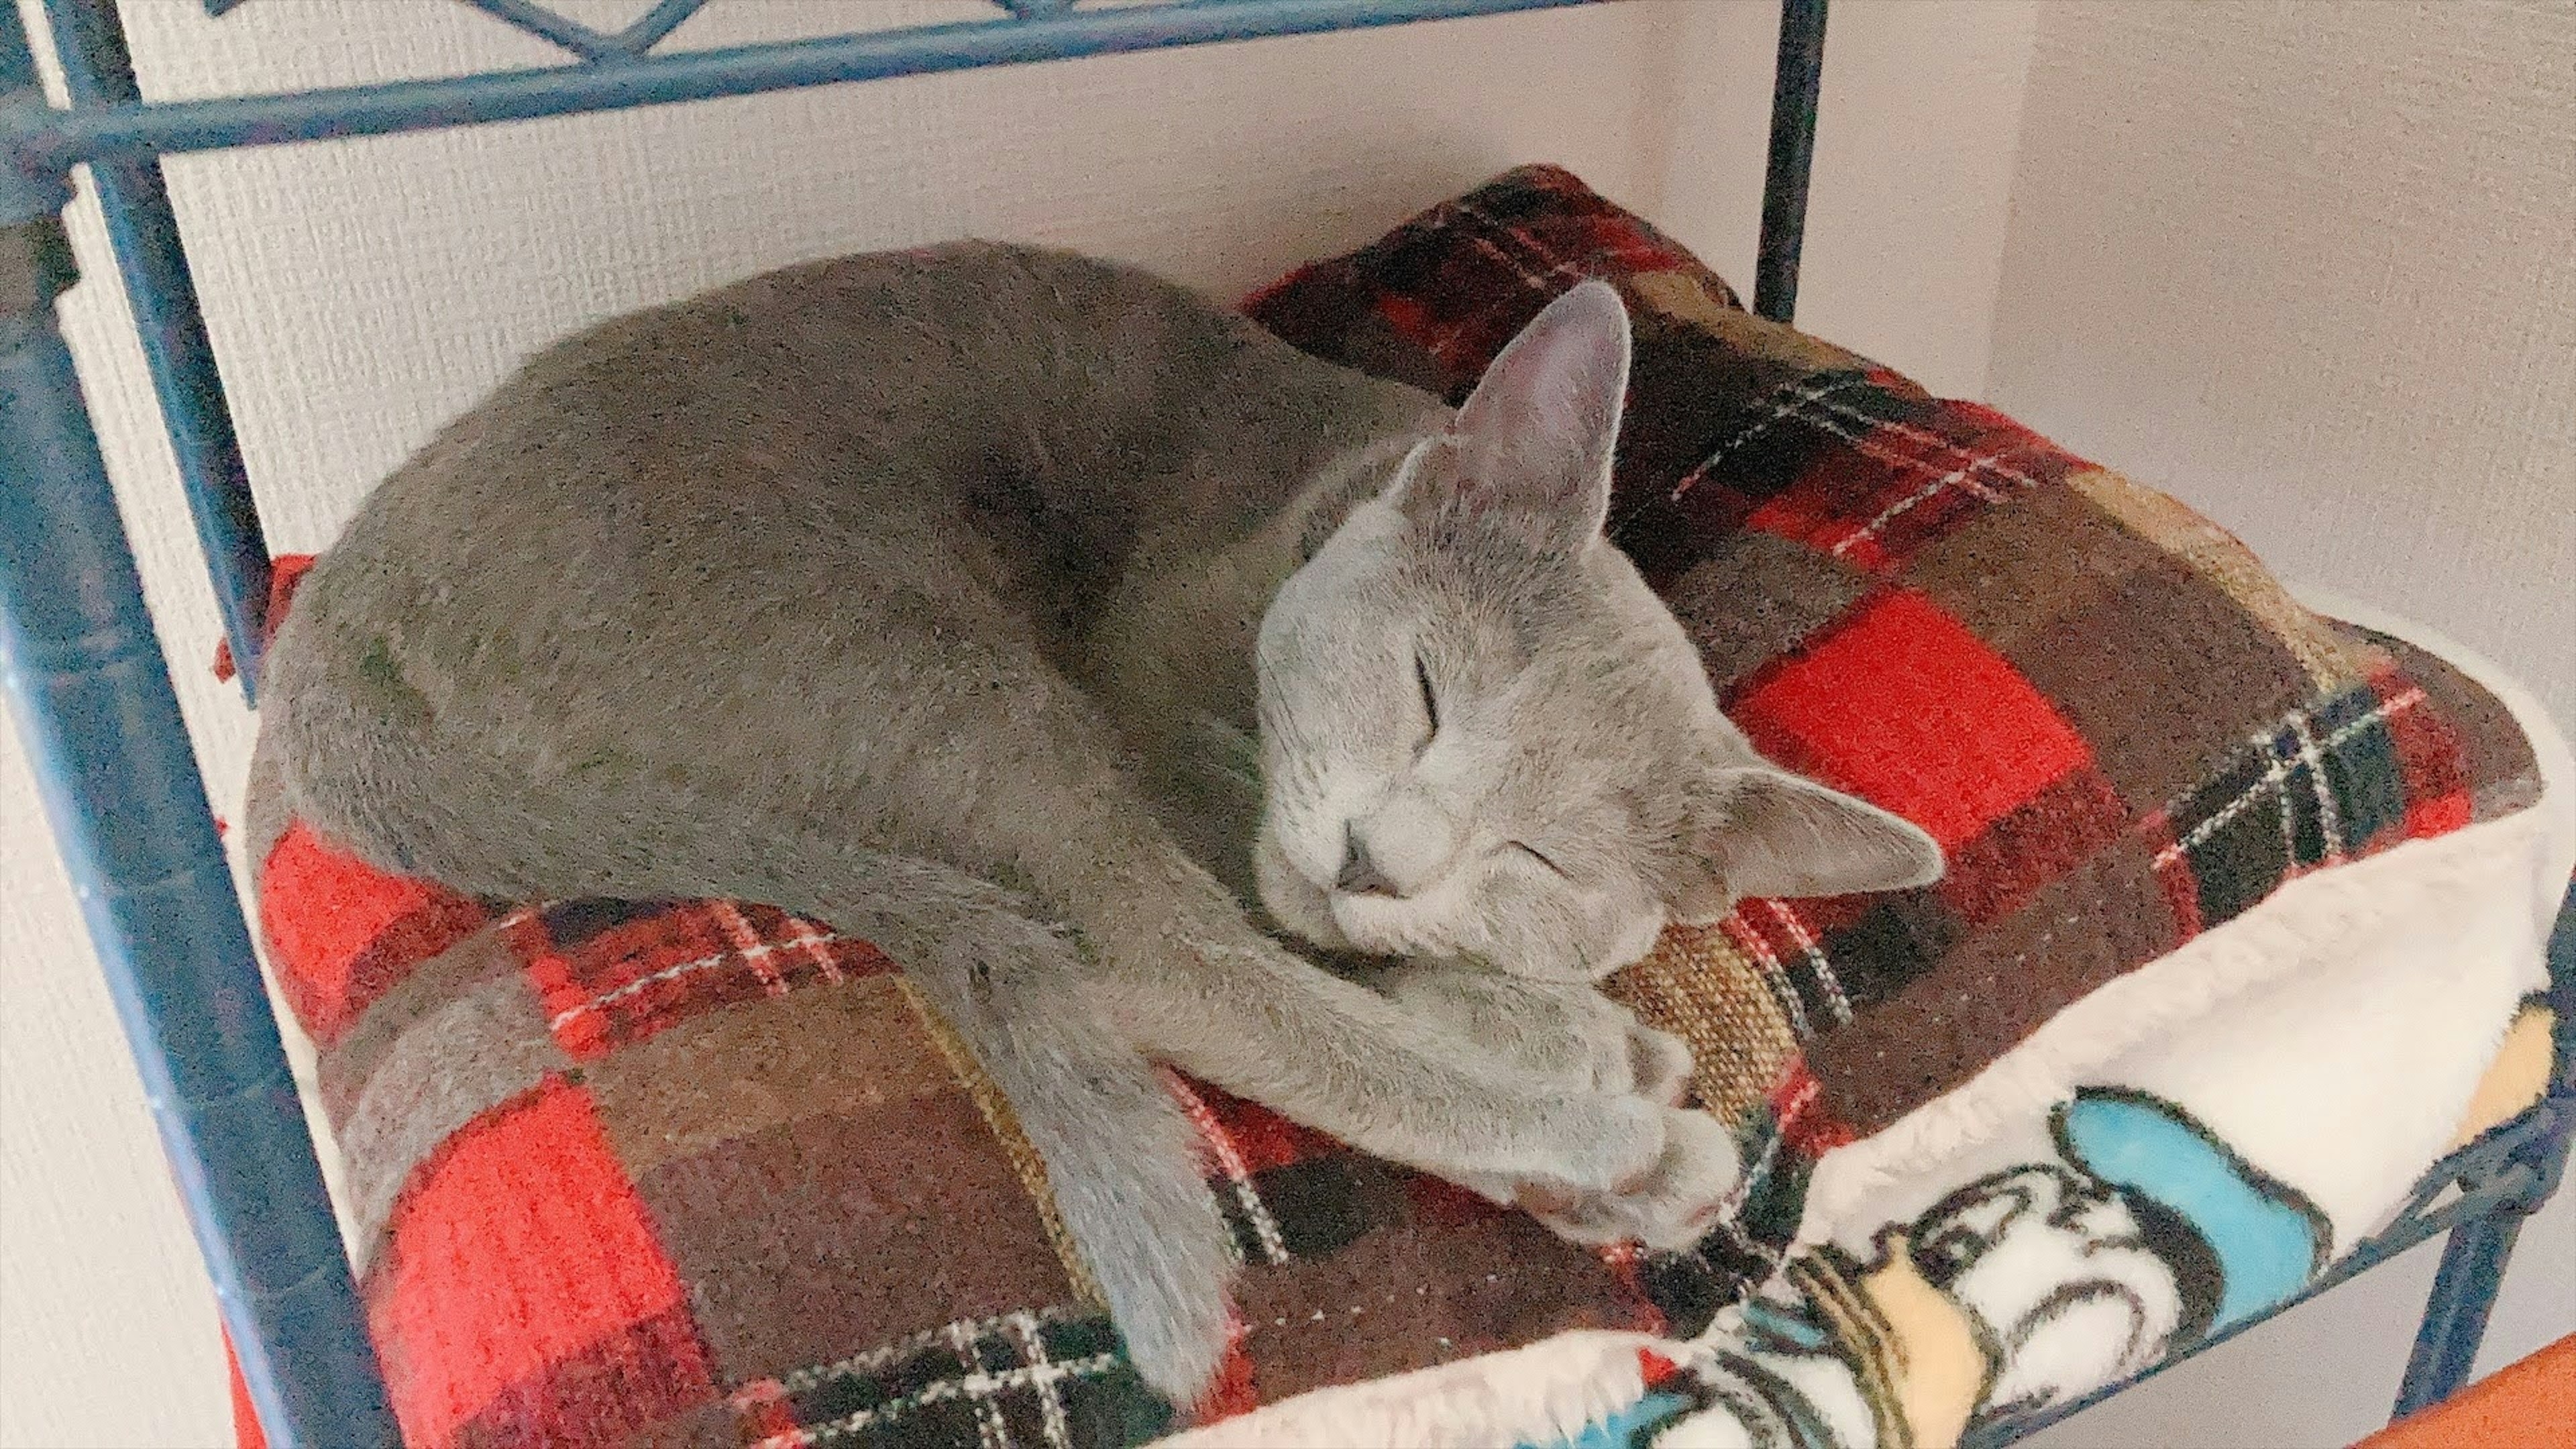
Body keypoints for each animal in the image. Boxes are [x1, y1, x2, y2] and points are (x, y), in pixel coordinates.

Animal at [266, 239, 1947, 1402]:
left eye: (1544, 857)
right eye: (1421, 690)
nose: (1379, 861)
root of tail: (328, 629)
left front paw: (1537, 1004)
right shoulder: (1153, 693)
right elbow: (1263, 904)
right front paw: (1573, 1038)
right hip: (911, 655)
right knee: (1159, 960)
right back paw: (1616, 1141)